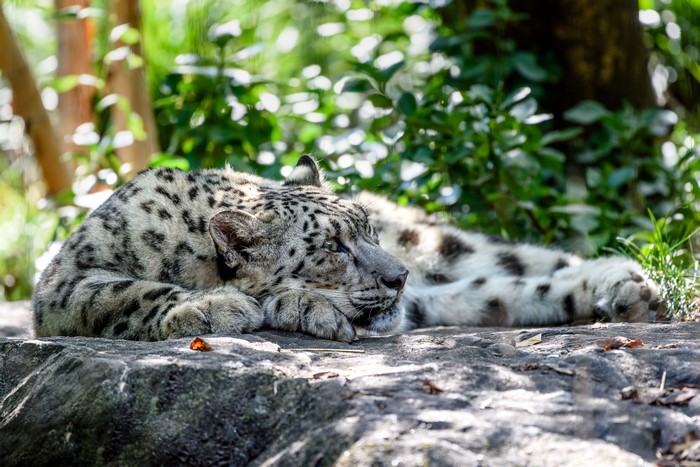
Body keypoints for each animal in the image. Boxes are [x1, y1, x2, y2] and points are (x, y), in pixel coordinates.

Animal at [33, 155, 660, 342]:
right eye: (332, 247)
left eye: (367, 231)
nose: (399, 278)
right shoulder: (63, 282)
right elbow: (125, 293)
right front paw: (214, 306)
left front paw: (296, 305)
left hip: (437, 242)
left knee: (515, 260)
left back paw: (633, 284)